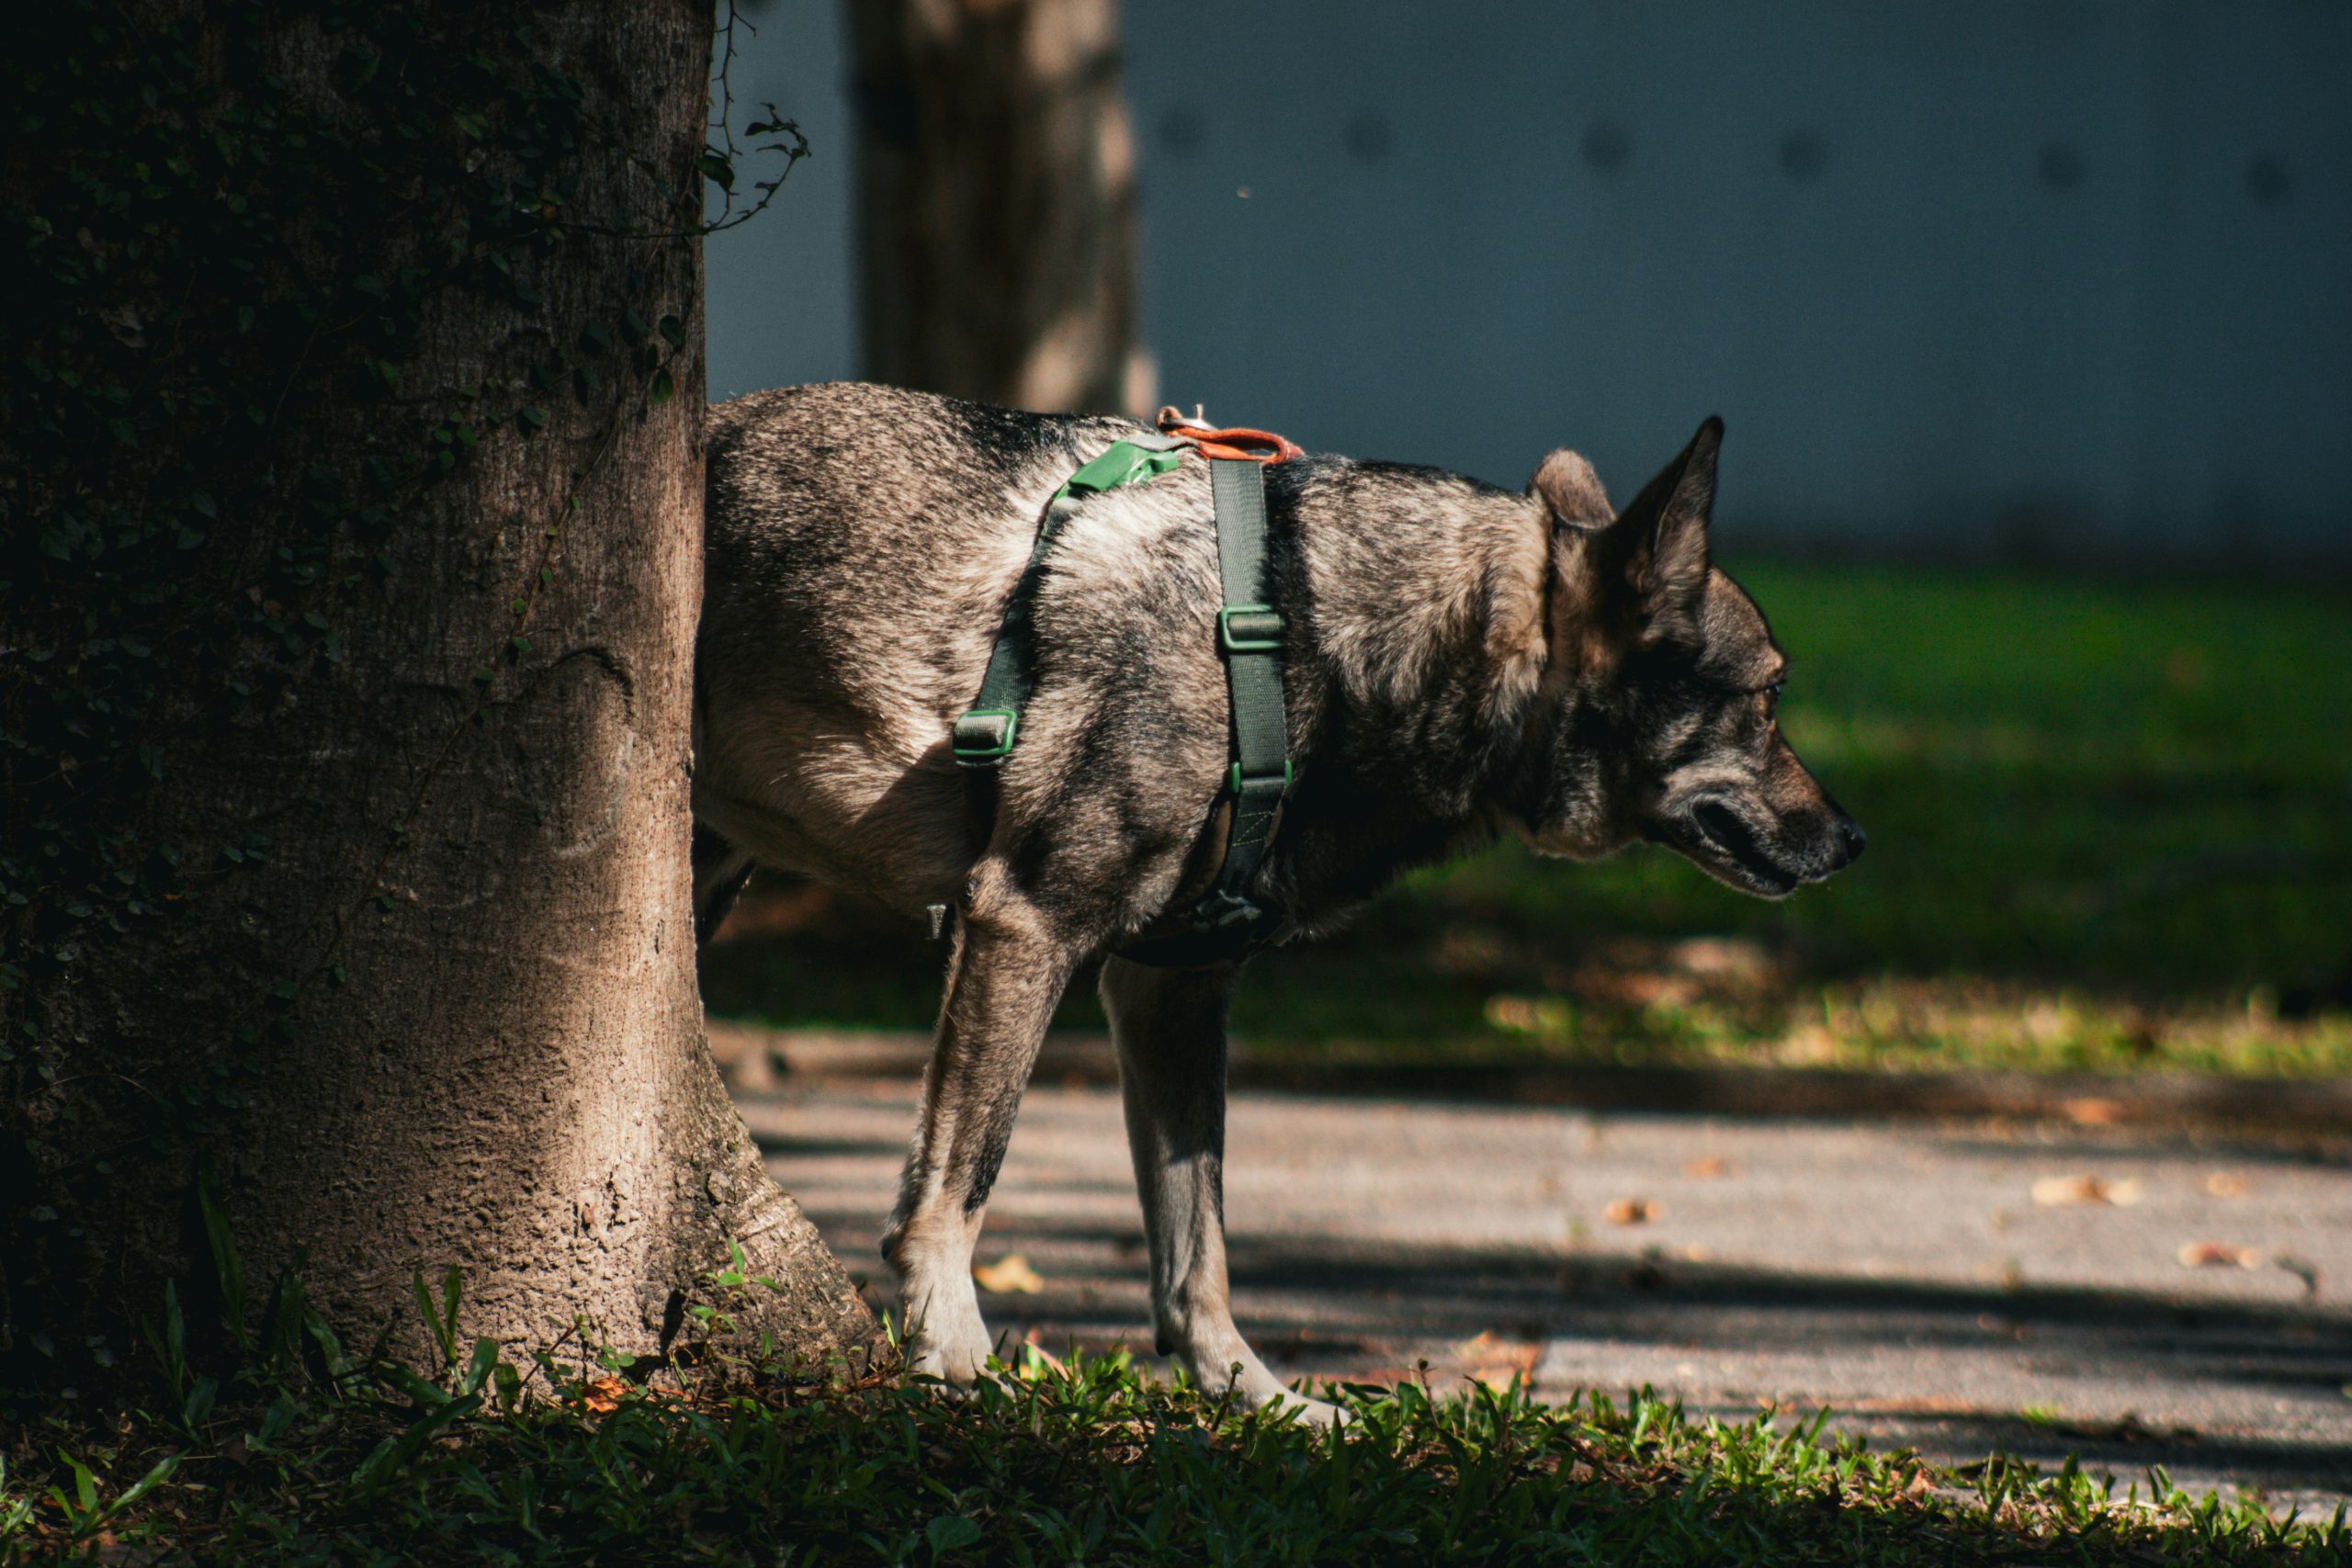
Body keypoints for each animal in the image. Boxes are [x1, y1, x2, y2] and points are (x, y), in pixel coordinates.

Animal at [686, 383, 1862, 1419]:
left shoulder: (1173, 996)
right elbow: (957, 1183)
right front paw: (953, 1353)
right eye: (1768, 699)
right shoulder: (1025, 925)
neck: (1297, 629)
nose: (1851, 841)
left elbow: (1195, 1248)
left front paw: (1253, 1400)